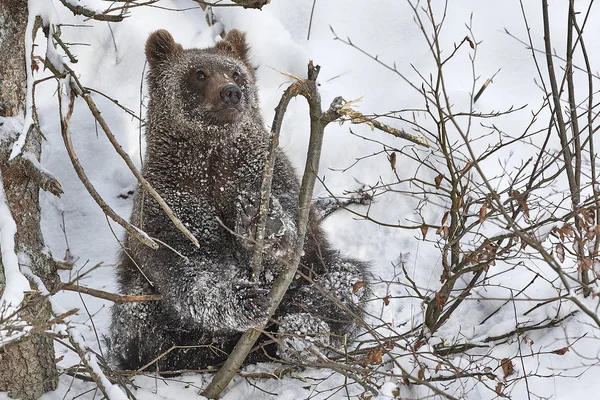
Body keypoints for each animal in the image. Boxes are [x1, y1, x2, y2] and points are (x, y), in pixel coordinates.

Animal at [109, 28, 370, 372]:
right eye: (199, 73)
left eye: (235, 73)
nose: (231, 92)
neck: (211, 154)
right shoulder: (168, 200)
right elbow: (187, 266)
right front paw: (242, 298)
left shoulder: (263, 174)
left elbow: (293, 247)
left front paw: (265, 223)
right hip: (140, 294)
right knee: (137, 321)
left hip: (321, 270)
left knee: (340, 284)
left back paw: (303, 333)